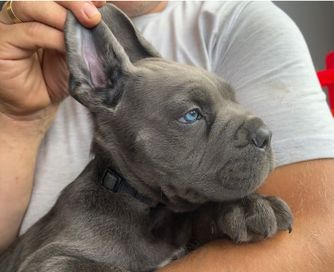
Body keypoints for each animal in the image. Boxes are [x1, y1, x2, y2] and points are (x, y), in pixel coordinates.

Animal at [0, 4, 292, 272]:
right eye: (191, 115)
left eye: (233, 99)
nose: (265, 134)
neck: (147, 208)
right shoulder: (52, 259)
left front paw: (247, 207)